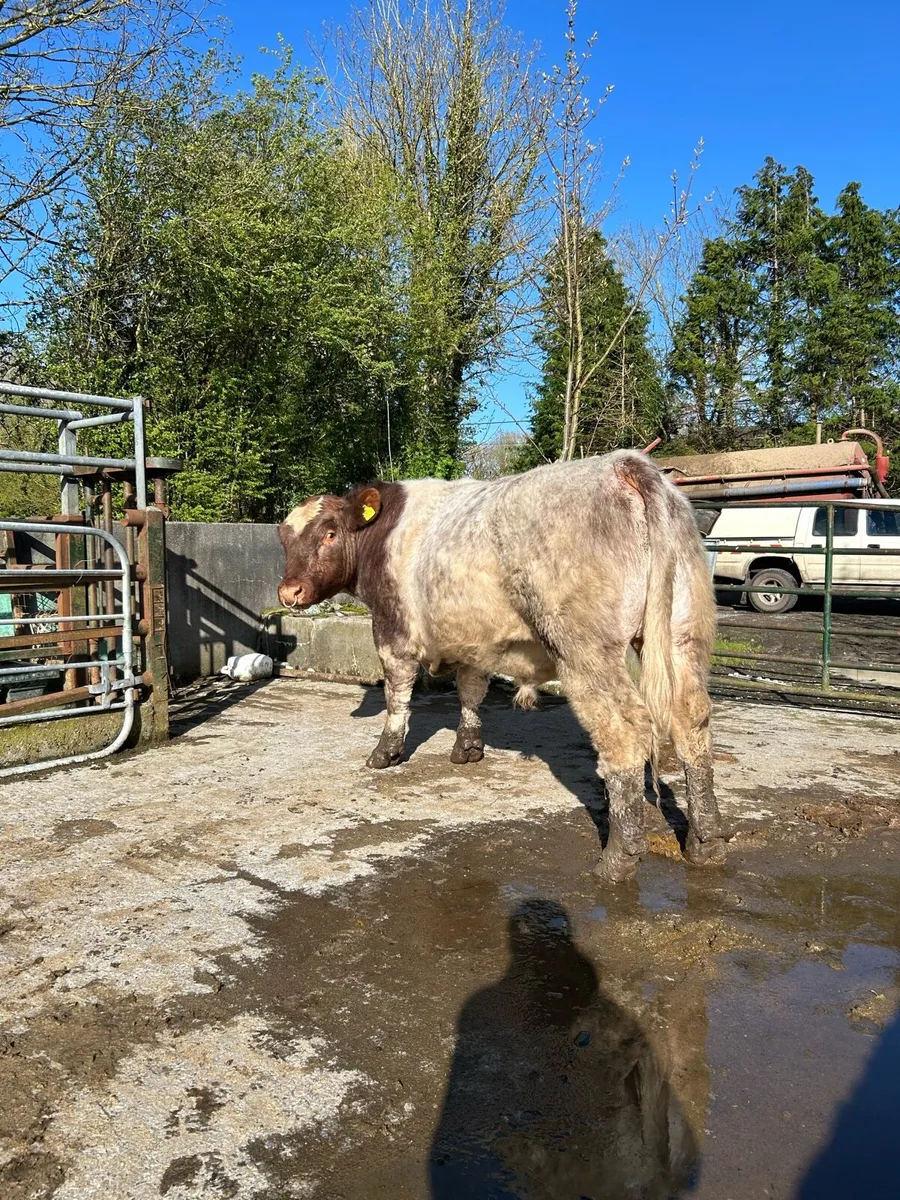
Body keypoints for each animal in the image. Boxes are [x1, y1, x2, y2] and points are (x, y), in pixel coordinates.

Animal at [277, 451, 730, 884]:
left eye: (329, 533)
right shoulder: (476, 641)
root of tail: (623, 464)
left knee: (624, 732)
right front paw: (468, 747)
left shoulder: (393, 634)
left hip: (586, 648)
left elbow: (397, 696)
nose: (288, 592)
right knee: (691, 720)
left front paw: (385, 752)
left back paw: (618, 859)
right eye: (284, 539)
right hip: (682, 632)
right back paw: (706, 843)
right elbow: (471, 689)